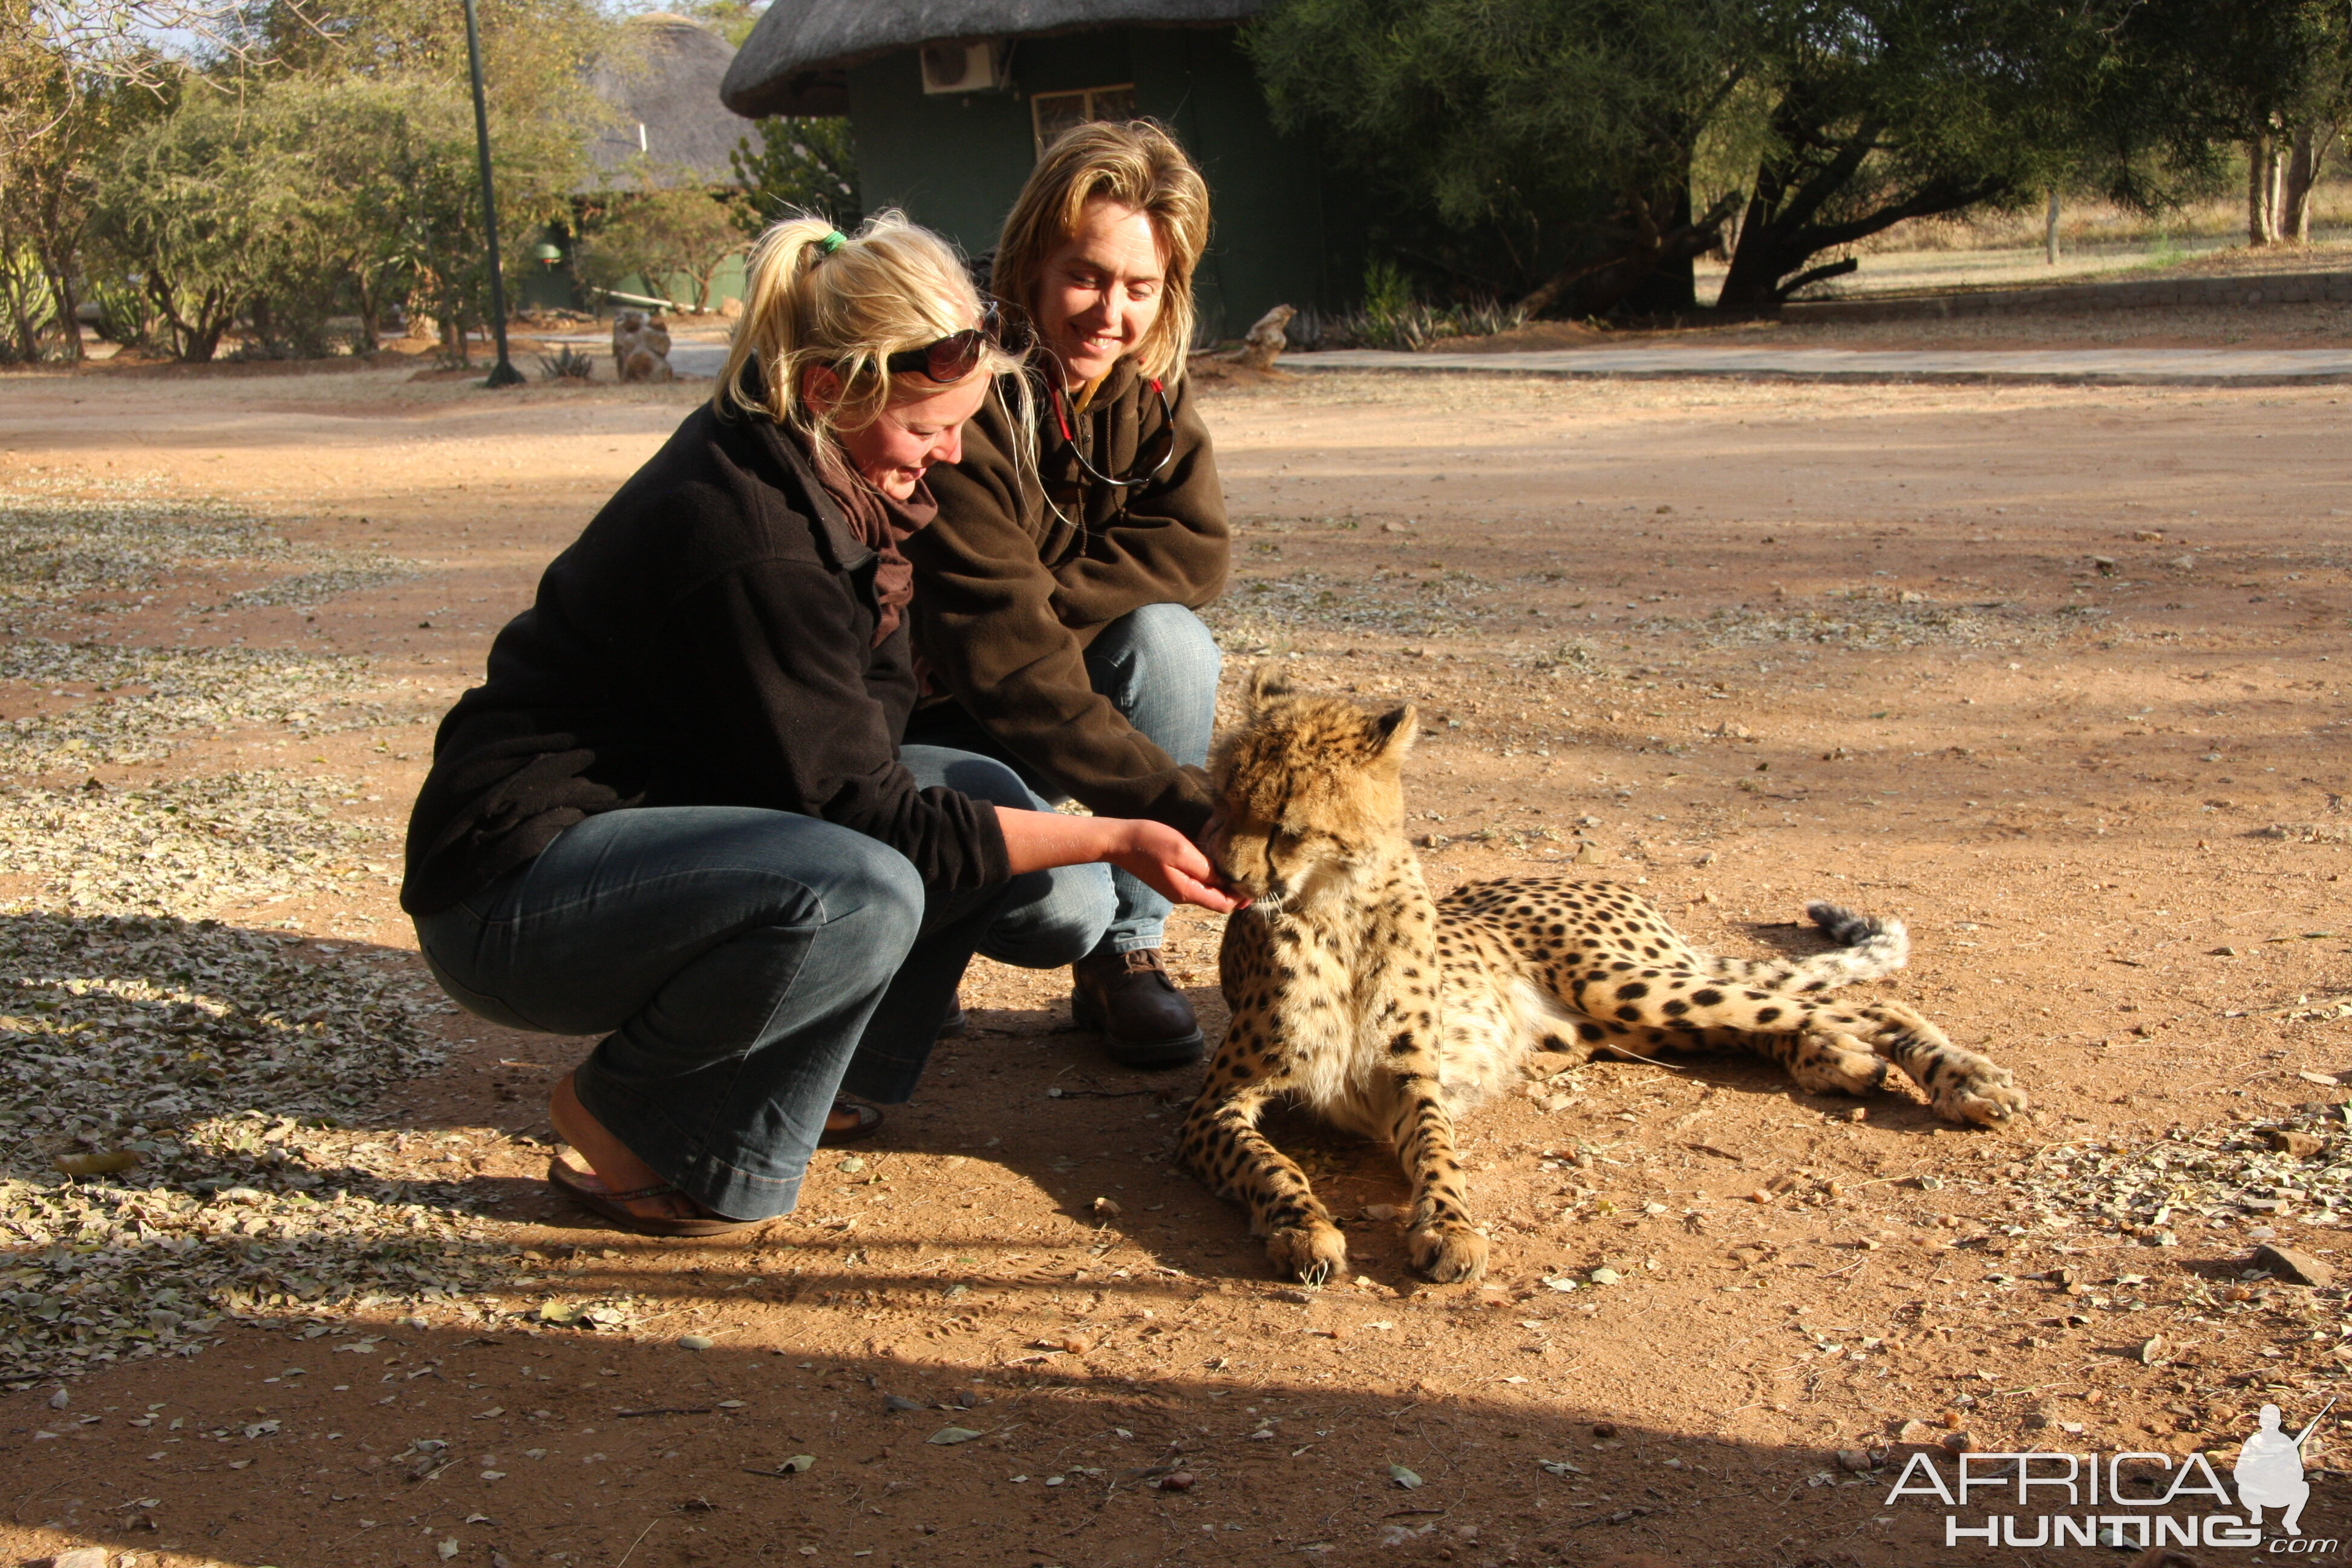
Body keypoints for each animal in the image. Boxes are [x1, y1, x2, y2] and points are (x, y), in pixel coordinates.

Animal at [1185, 677, 2032, 1288]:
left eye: (1287, 824)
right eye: (1224, 800)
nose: (1226, 875)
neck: (1335, 909)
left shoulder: (1411, 1078)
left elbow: (1438, 1152)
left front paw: (1451, 1229)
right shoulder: (1217, 1103)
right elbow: (1272, 1165)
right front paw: (1302, 1226)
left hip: (1623, 984)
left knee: (1863, 1001)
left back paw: (1970, 1080)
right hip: (1627, 1021)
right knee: (1795, 1019)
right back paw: (1840, 1062)